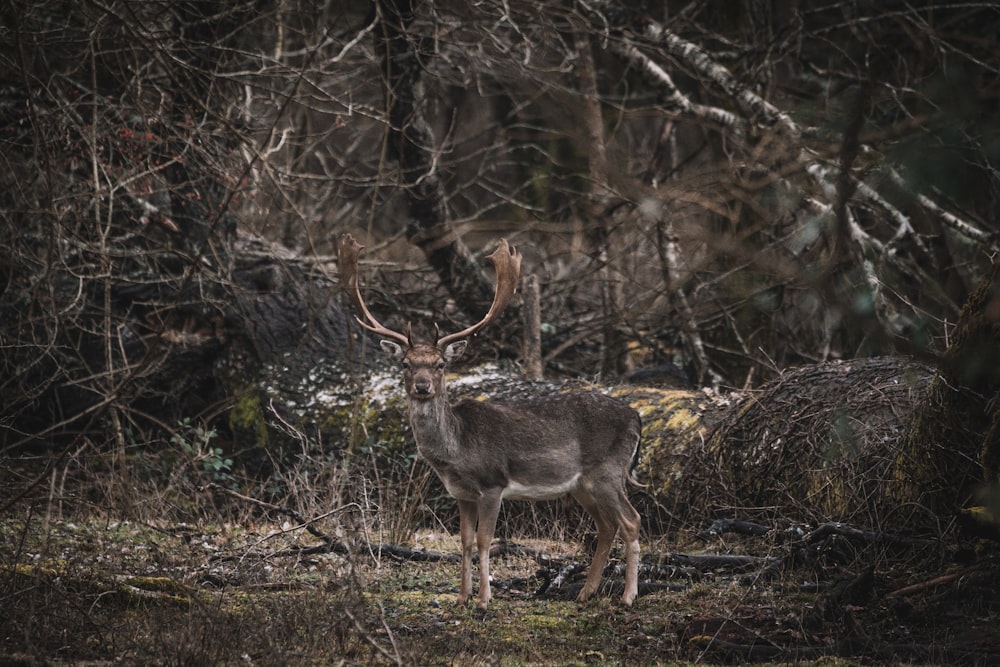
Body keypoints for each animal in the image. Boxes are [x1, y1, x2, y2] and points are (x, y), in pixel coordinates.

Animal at [340, 234, 644, 612]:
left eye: (440, 364)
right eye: (406, 364)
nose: (422, 386)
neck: (456, 454)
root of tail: (637, 417)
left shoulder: (492, 484)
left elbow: (486, 540)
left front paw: (484, 599)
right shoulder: (461, 493)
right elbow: (465, 541)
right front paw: (461, 596)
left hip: (608, 471)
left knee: (631, 521)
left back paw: (628, 596)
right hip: (582, 484)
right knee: (606, 526)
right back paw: (587, 592)